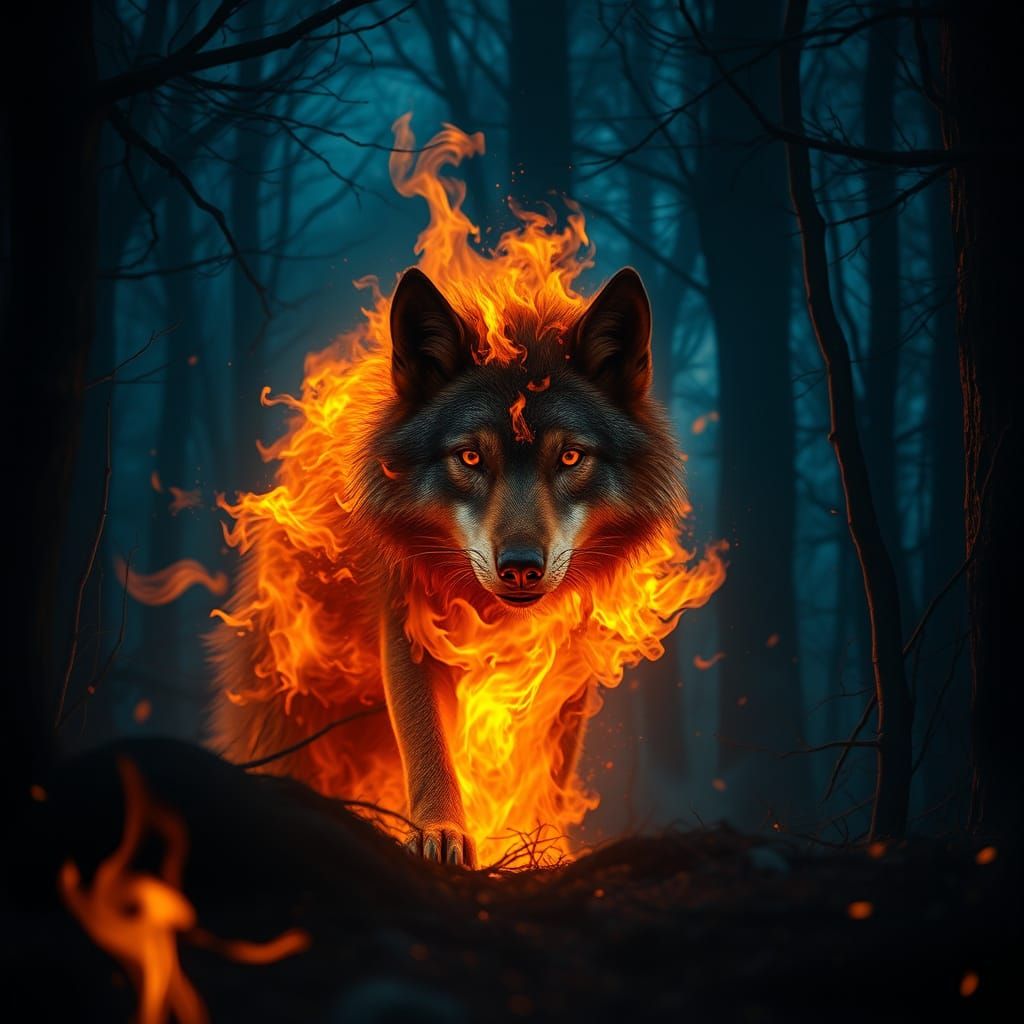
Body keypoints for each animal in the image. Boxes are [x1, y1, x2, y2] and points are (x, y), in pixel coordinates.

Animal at [210, 265, 683, 867]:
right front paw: (441, 832)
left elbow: (552, 772)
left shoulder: (568, 666)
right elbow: (427, 741)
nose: (521, 567)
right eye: (471, 457)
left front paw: (542, 842)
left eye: (570, 456)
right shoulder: (407, 627)